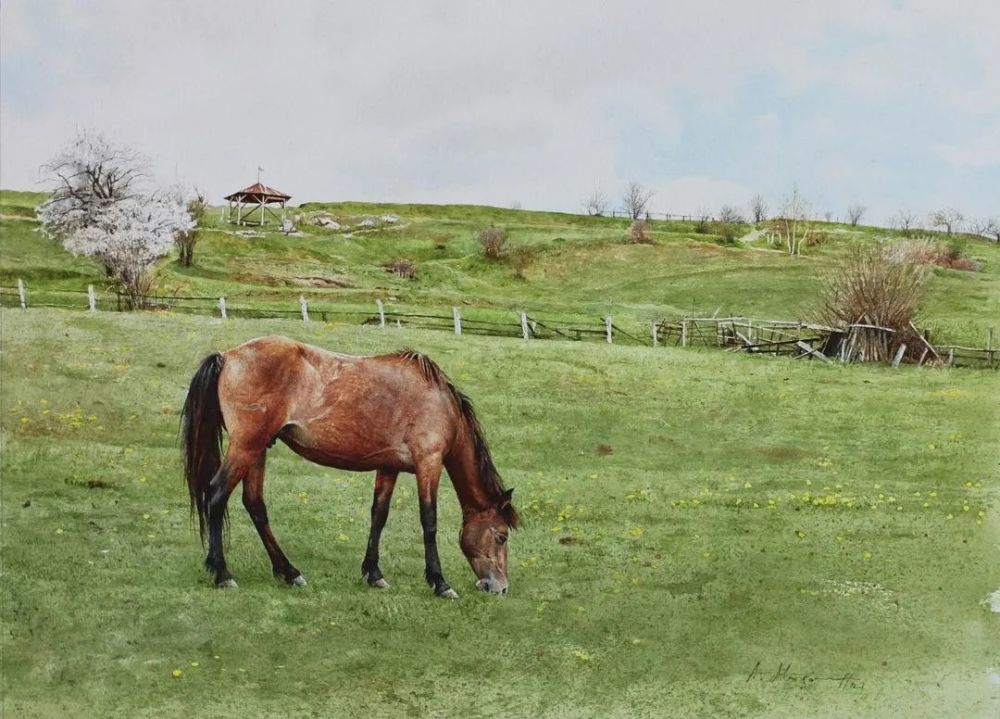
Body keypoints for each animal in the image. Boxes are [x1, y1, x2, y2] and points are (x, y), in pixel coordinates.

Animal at [181, 334, 520, 600]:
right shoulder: (429, 463)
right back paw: (223, 574)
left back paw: (289, 572)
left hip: (258, 449)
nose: (500, 587)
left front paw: (374, 574)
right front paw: (440, 583)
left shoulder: (389, 467)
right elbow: (429, 521)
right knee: (216, 496)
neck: (438, 403)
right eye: (501, 536)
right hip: (246, 447)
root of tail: (228, 356)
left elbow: (378, 516)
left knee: (255, 505)